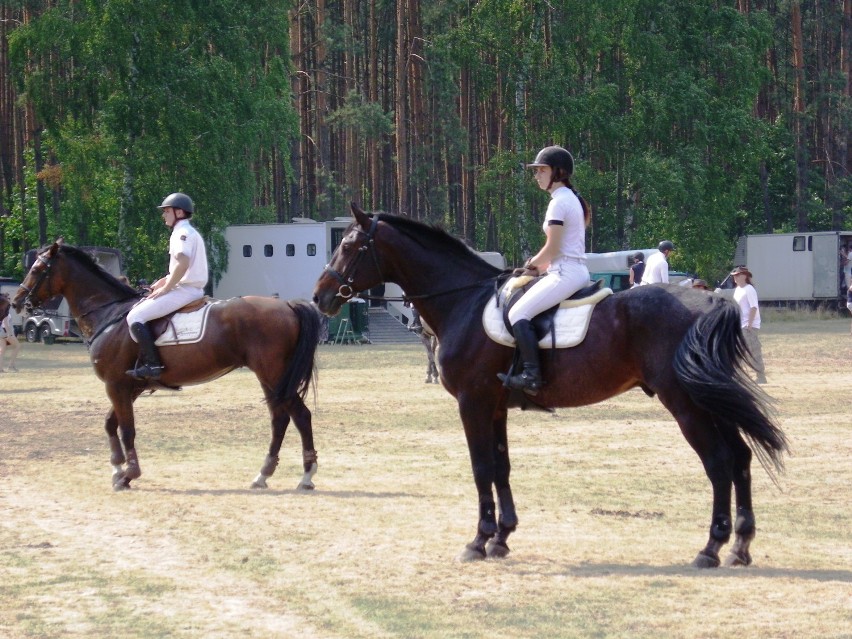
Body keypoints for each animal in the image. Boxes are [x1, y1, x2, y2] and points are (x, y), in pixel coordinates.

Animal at [13, 242, 320, 492]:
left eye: (38, 268)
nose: (18, 302)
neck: (110, 314)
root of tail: (287, 306)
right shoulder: (129, 386)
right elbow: (111, 424)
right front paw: (117, 469)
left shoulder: (116, 385)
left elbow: (126, 429)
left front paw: (129, 474)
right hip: (270, 379)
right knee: (280, 419)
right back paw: (263, 475)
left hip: (273, 375)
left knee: (300, 416)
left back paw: (305, 476)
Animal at [312, 202, 784, 568]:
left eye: (349, 246)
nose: (320, 297)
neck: (463, 301)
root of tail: (709, 300)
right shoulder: (495, 406)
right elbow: (500, 467)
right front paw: (502, 538)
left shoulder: (472, 402)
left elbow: (481, 468)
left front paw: (477, 541)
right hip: (705, 399)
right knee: (741, 457)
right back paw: (740, 546)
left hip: (685, 402)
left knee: (719, 462)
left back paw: (711, 548)